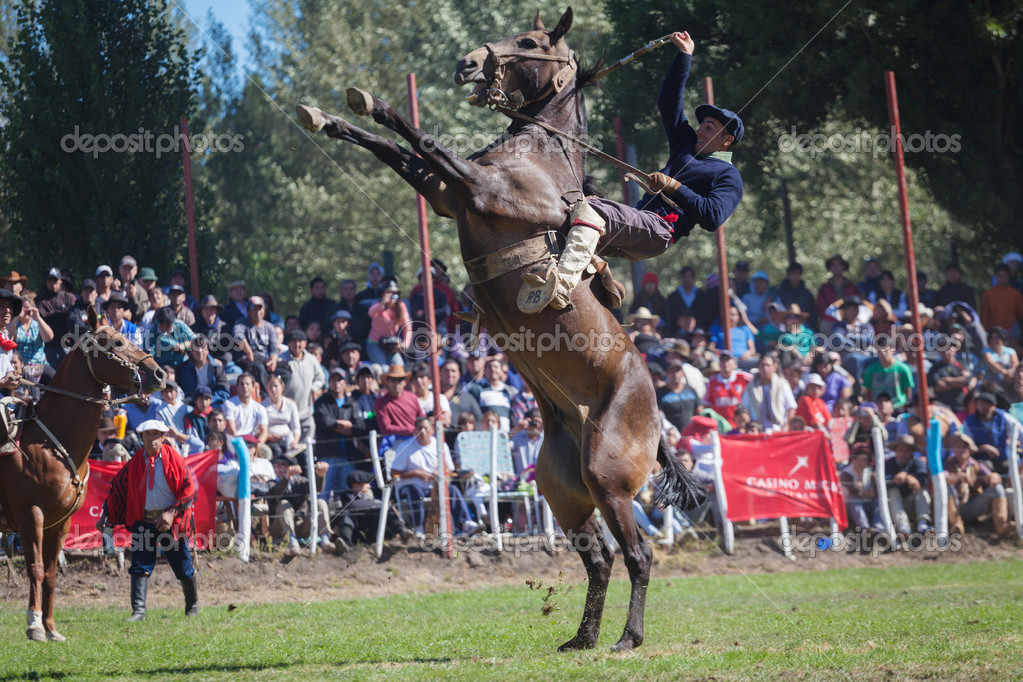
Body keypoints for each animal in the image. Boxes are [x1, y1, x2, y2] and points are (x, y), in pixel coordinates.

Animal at [0, 308, 163, 642]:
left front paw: (51, 628)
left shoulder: (60, 522)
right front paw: (34, 624)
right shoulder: (30, 514)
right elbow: (36, 567)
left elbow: (50, 573)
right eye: (115, 342)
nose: (158, 373)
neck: (50, 440)